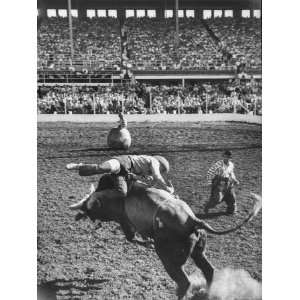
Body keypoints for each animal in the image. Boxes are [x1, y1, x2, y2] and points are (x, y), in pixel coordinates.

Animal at [69, 175, 262, 298]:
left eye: (90, 207)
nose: (82, 213)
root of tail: (193, 220)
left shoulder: (124, 221)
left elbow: (131, 237)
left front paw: (146, 242)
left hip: (168, 258)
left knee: (184, 282)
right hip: (198, 251)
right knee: (208, 270)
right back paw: (206, 292)